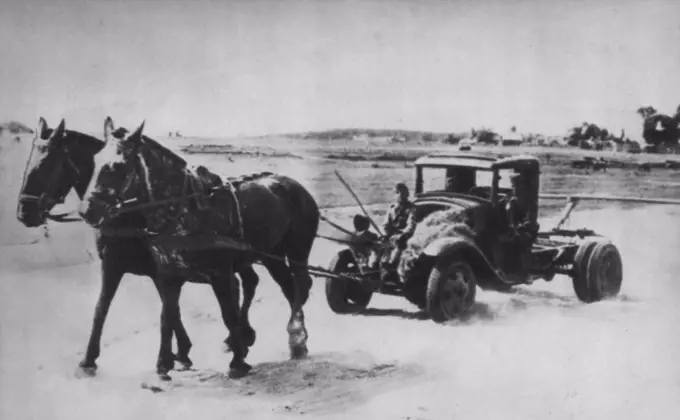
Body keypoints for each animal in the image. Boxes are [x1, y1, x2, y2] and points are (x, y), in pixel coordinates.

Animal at [17, 118, 320, 380]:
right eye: (29, 162)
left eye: (46, 165)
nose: (23, 213)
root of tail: (294, 185)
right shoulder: (136, 267)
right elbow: (122, 310)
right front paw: (93, 360)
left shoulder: (209, 272)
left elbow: (202, 310)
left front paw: (223, 358)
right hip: (268, 256)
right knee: (273, 284)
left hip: (294, 251)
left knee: (297, 283)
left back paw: (294, 335)